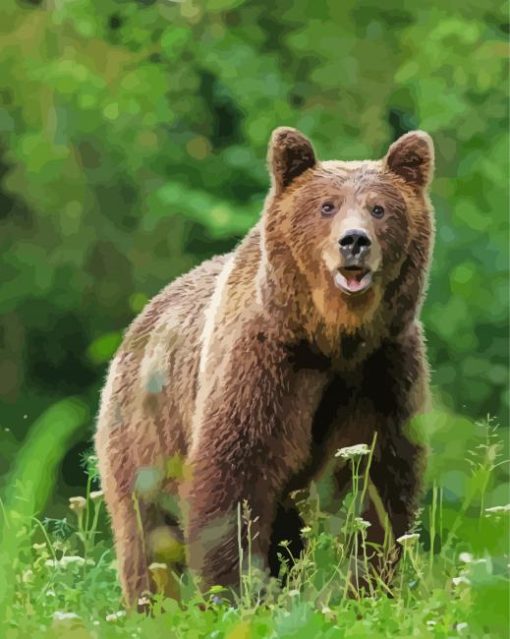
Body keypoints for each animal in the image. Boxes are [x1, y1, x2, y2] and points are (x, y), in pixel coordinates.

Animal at [95, 126, 434, 608]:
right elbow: (235, 474)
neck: (331, 340)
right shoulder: (263, 365)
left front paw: (369, 586)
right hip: (145, 433)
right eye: (326, 205)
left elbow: (379, 479)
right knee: (146, 532)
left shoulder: (382, 369)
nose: (354, 241)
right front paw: (233, 591)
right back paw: (153, 604)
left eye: (379, 208)